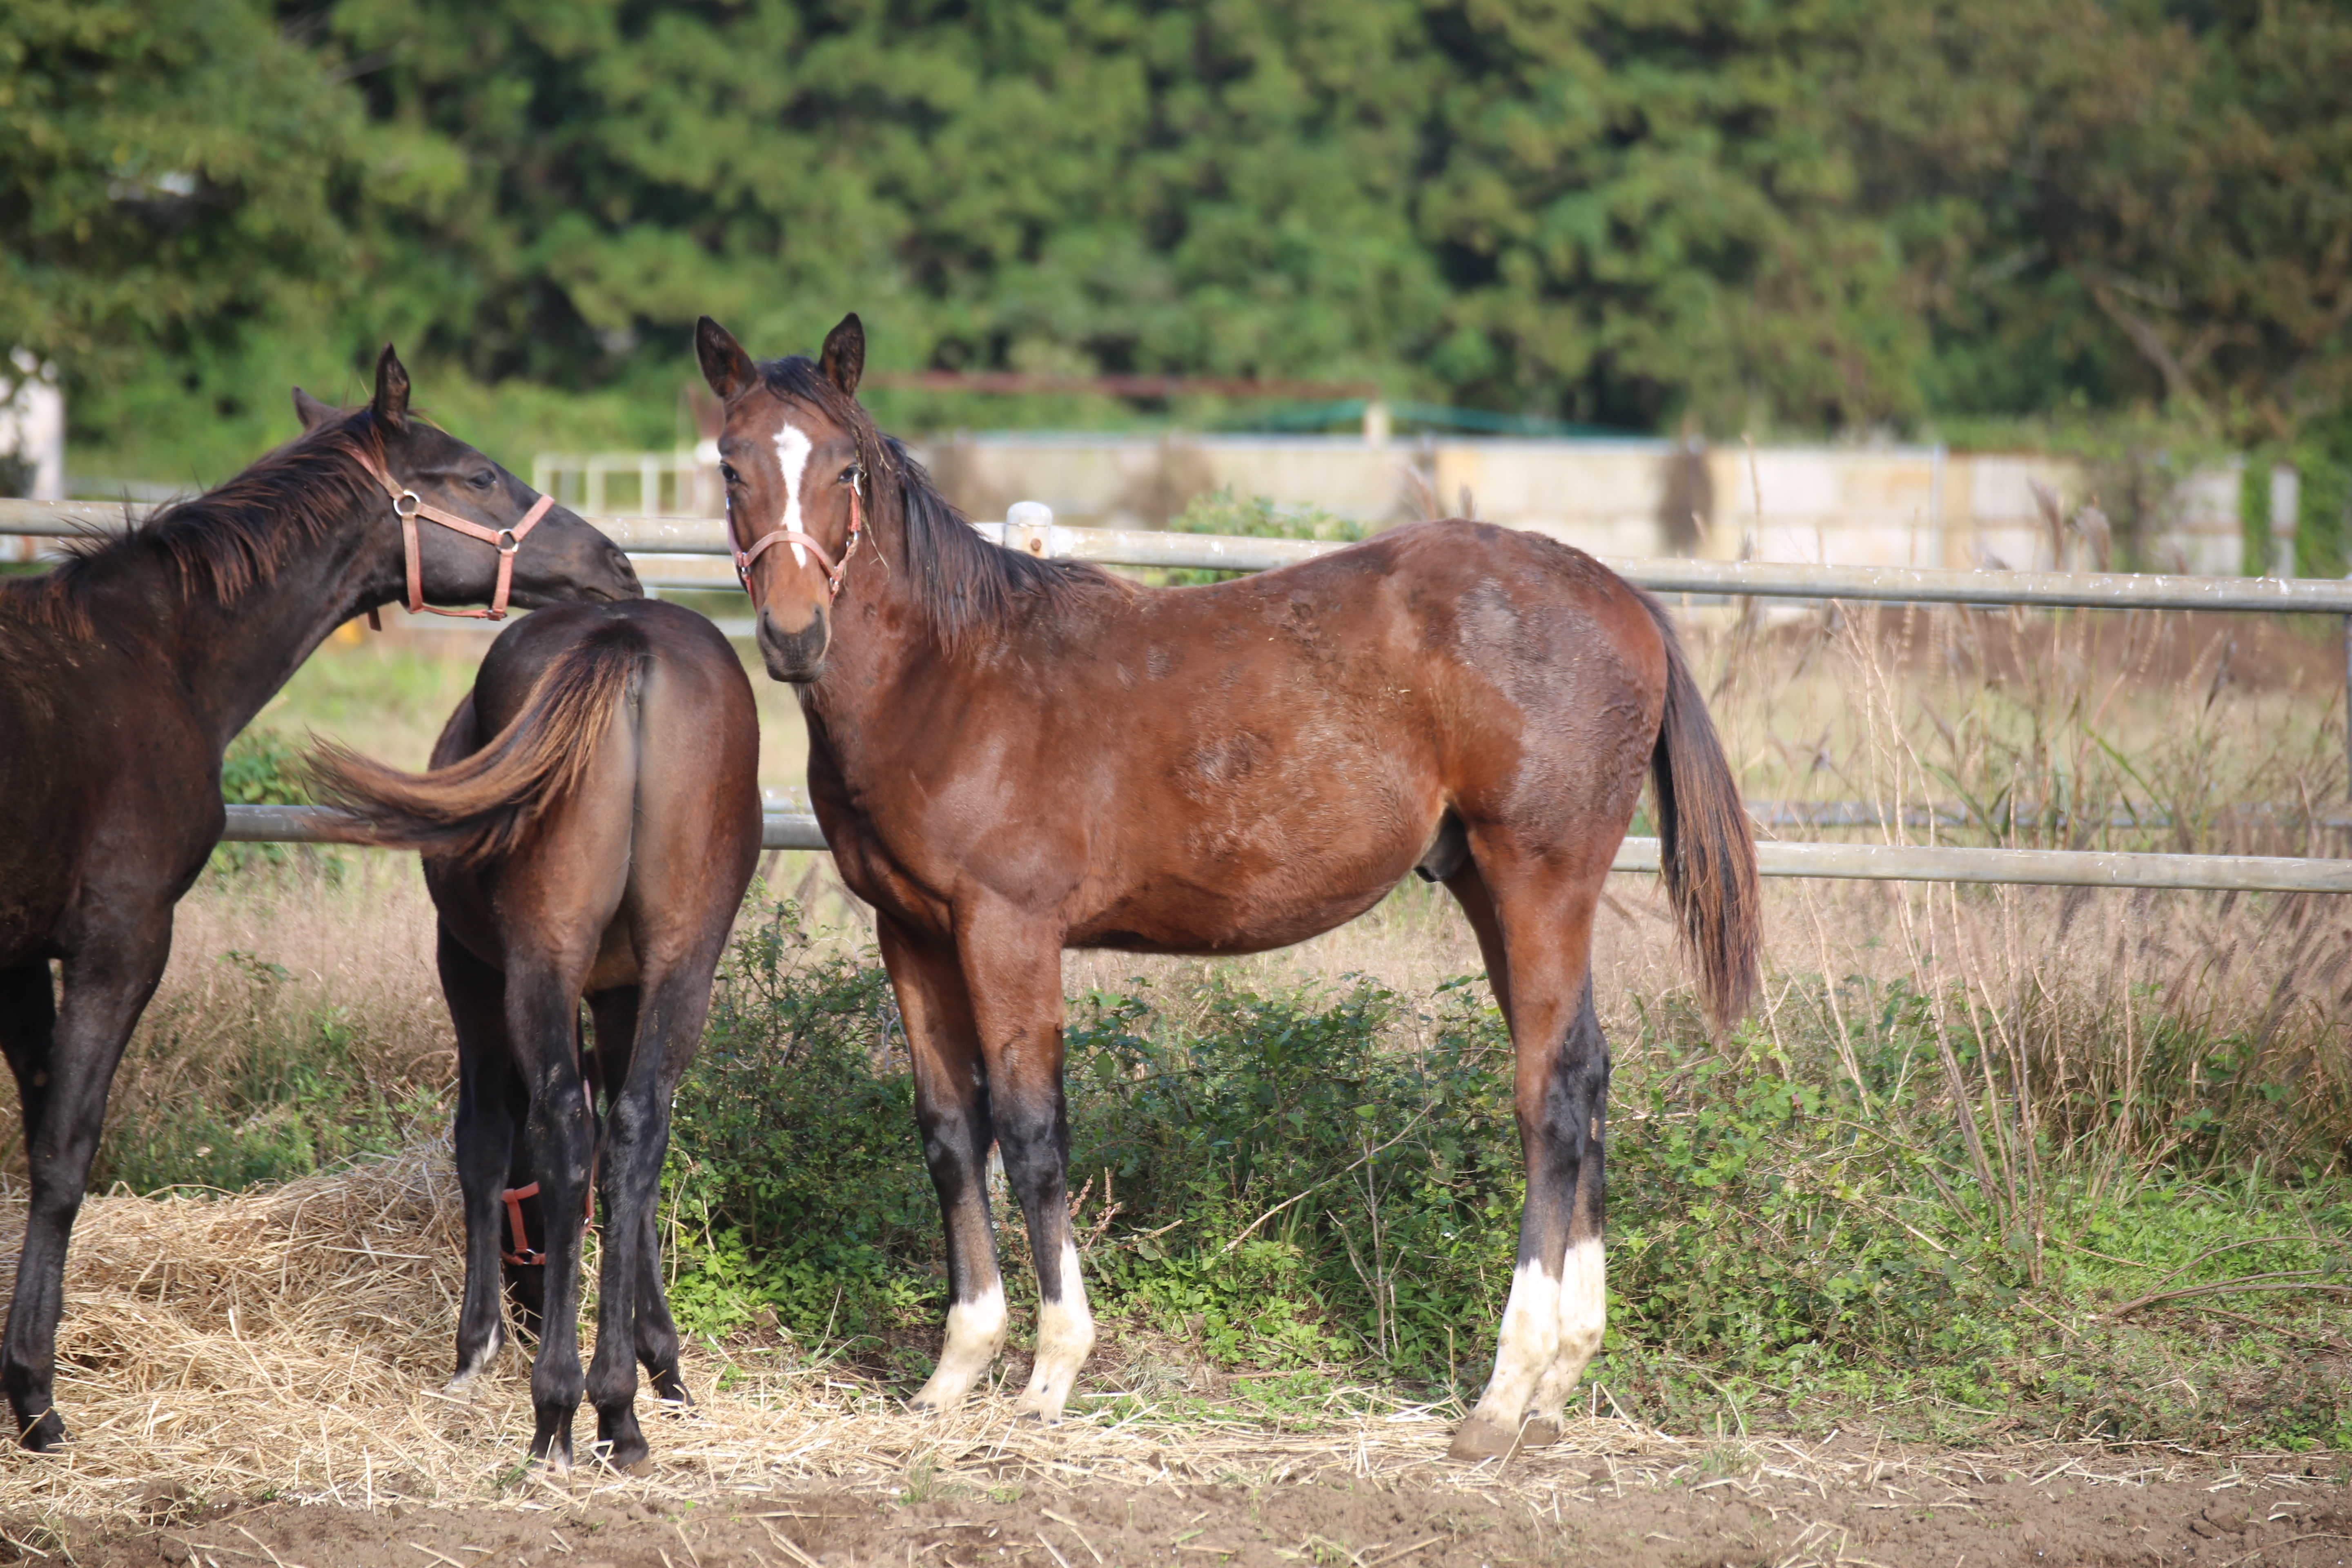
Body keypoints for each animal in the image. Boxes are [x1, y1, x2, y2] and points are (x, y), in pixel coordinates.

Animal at [0, 343, 639, 1448]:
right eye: (476, 476)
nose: (616, 564)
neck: (151, 656)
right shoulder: (119, 940)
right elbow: (63, 1151)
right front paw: (37, 1397)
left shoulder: (14, 957)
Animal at [308, 601, 757, 1476]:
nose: (523, 1312)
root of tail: (624, 641)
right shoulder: (623, 992)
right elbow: (632, 1164)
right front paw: (662, 1364)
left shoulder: (469, 970)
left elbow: (484, 1141)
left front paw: (474, 1348)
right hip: (685, 958)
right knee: (634, 1132)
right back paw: (618, 1410)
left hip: (536, 959)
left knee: (561, 1131)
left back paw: (557, 1408)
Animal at [686, 315, 1759, 1457]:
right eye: (731, 464)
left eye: (844, 469)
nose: (794, 635)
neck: (951, 677)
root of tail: (1623, 596)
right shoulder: (913, 932)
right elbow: (948, 1132)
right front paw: (953, 1371)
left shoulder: (1007, 930)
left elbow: (1030, 1129)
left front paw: (1049, 1375)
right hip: (1493, 887)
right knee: (1588, 1074)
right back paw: (1559, 1382)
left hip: (1538, 879)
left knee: (1548, 1098)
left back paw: (1503, 1395)